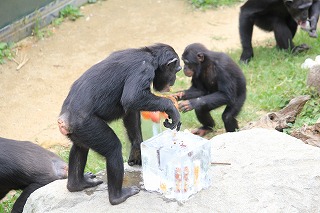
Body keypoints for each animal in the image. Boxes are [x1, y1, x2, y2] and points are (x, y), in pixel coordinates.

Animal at [58, 42, 182, 205]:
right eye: (177, 70)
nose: (174, 79)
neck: (152, 56)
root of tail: (63, 120)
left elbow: (130, 112)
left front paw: (137, 150)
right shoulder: (143, 68)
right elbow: (132, 98)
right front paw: (171, 108)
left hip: (78, 132)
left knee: (80, 148)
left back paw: (77, 184)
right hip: (88, 126)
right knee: (113, 149)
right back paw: (118, 196)